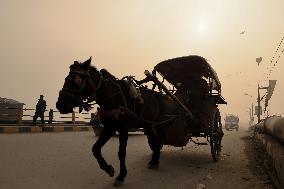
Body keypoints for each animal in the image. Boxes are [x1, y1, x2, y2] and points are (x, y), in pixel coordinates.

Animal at [56, 56, 175, 186]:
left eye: (77, 80)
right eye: (66, 78)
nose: (60, 105)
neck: (113, 98)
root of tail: (162, 96)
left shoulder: (123, 129)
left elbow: (121, 153)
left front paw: (121, 176)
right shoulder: (109, 128)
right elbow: (95, 149)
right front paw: (109, 169)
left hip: (157, 123)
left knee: (158, 139)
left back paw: (155, 161)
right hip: (148, 124)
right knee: (155, 139)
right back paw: (154, 160)